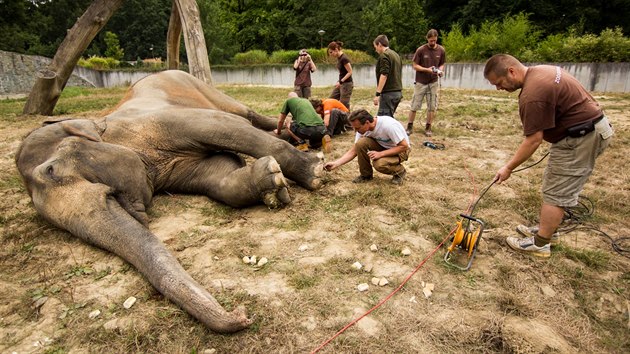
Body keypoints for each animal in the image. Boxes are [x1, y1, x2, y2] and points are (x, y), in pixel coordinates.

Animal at [17, 70, 324, 334]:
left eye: (52, 170)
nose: (242, 313)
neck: (102, 125)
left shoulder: (159, 121)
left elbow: (227, 128)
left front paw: (315, 172)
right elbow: (221, 176)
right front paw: (272, 184)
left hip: (198, 86)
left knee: (246, 115)